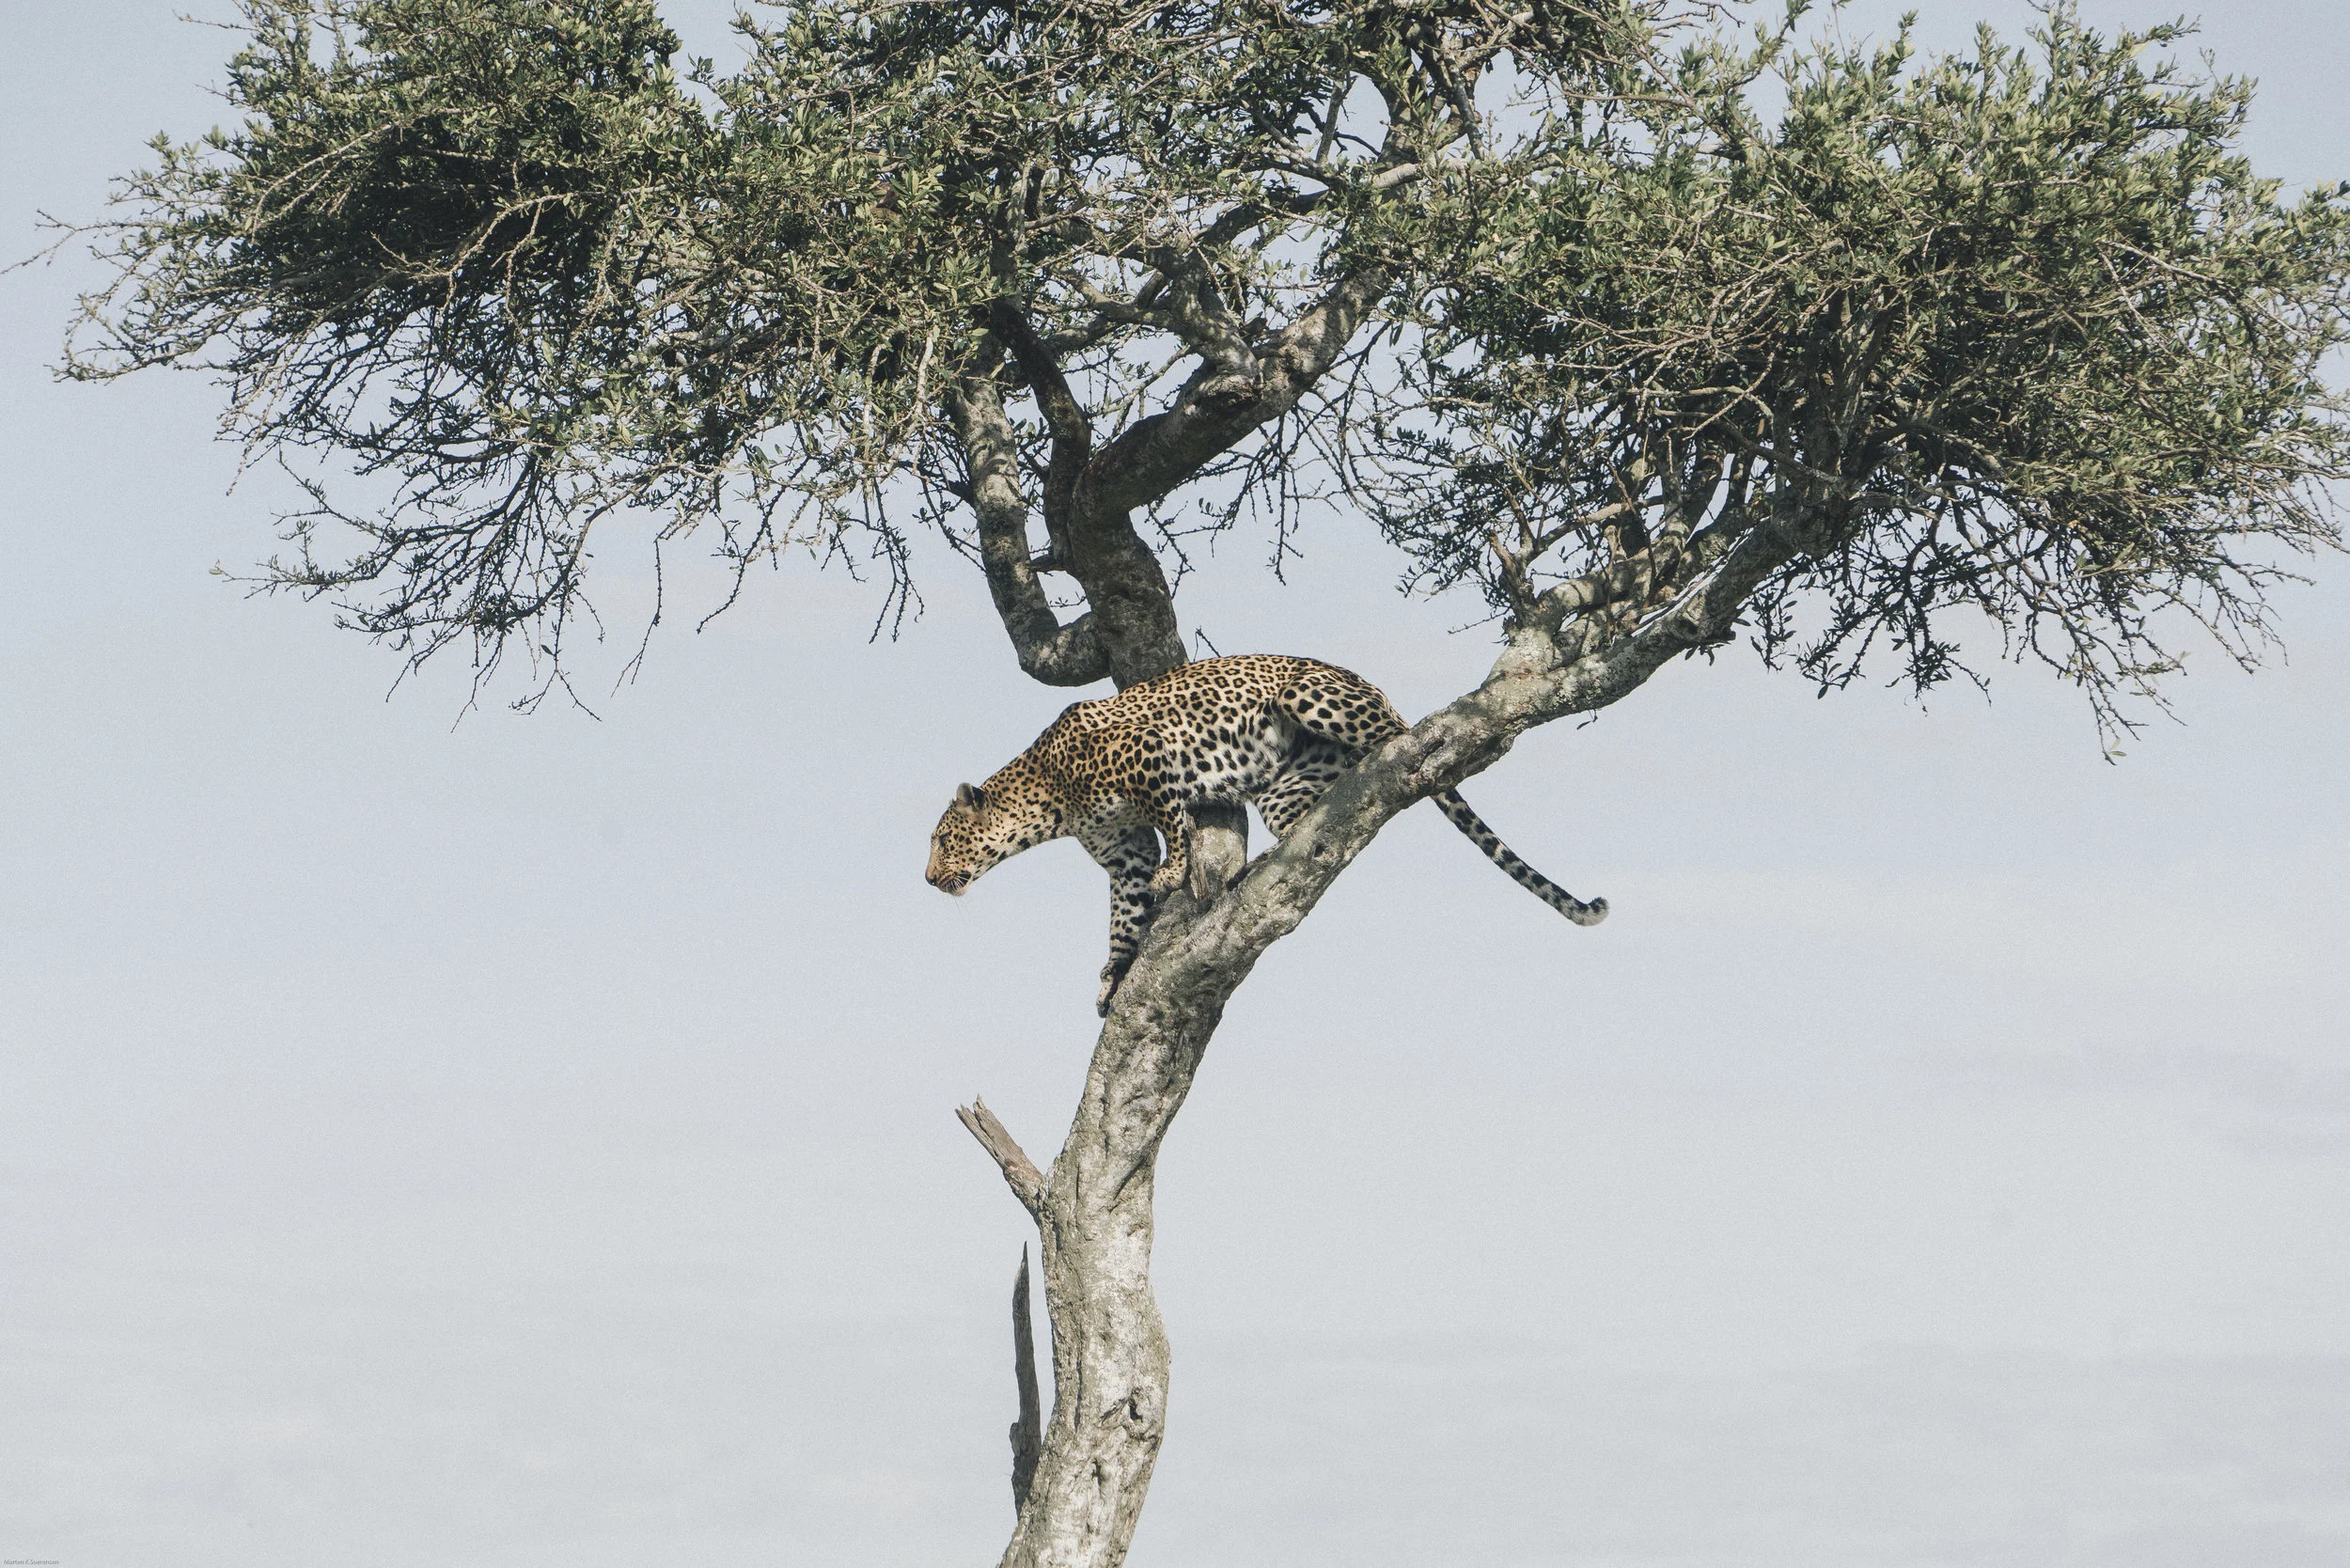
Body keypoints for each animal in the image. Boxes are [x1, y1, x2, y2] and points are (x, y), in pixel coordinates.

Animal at [926, 654, 1607, 1014]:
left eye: (942, 841)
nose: (928, 879)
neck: (1049, 801)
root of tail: (1372, 687)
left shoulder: (1151, 759)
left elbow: (1175, 826)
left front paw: (1175, 873)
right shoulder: (1122, 852)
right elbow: (1124, 913)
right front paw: (1113, 973)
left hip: (1308, 693)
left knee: (1402, 739)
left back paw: (1419, 741)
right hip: (1287, 791)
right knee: (1312, 819)